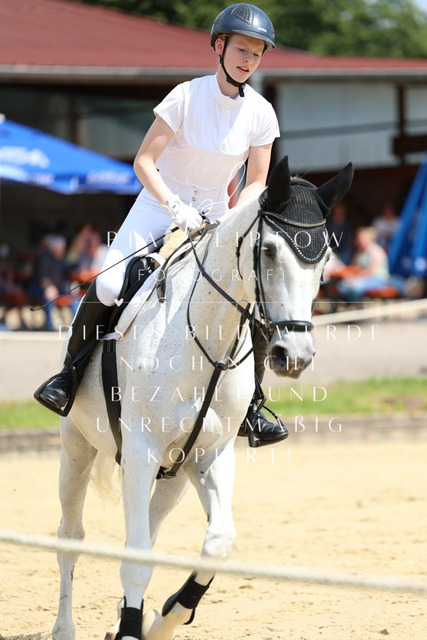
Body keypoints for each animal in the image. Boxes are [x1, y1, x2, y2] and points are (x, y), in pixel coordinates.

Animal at [51, 155, 353, 640]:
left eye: (325, 258)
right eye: (269, 251)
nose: (295, 356)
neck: (204, 336)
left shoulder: (209, 454)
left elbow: (218, 543)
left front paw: (165, 618)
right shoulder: (140, 450)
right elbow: (135, 558)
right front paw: (135, 627)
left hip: (173, 471)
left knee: (149, 530)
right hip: (76, 444)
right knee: (70, 534)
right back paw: (65, 628)